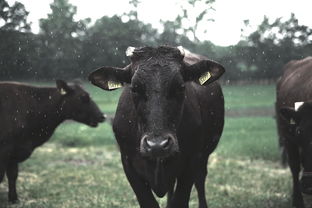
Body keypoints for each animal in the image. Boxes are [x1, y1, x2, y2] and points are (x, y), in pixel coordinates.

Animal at [88, 46, 224, 208]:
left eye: (180, 87)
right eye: (134, 88)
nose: (157, 145)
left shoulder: (192, 161)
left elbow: (180, 200)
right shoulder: (128, 163)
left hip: (204, 156)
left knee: (200, 179)